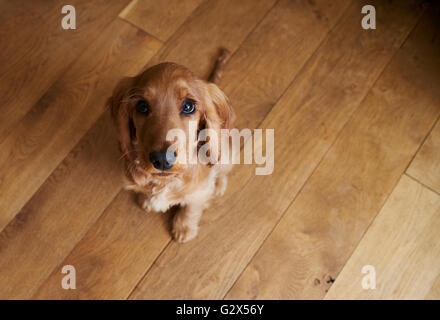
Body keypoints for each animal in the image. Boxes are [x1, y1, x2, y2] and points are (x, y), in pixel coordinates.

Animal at [108, 50, 235, 241]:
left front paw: (184, 228)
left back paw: (219, 185)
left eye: (188, 106)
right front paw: (147, 201)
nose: (161, 159)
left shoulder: (198, 193)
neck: (165, 182)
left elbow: (191, 207)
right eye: (142, 106)